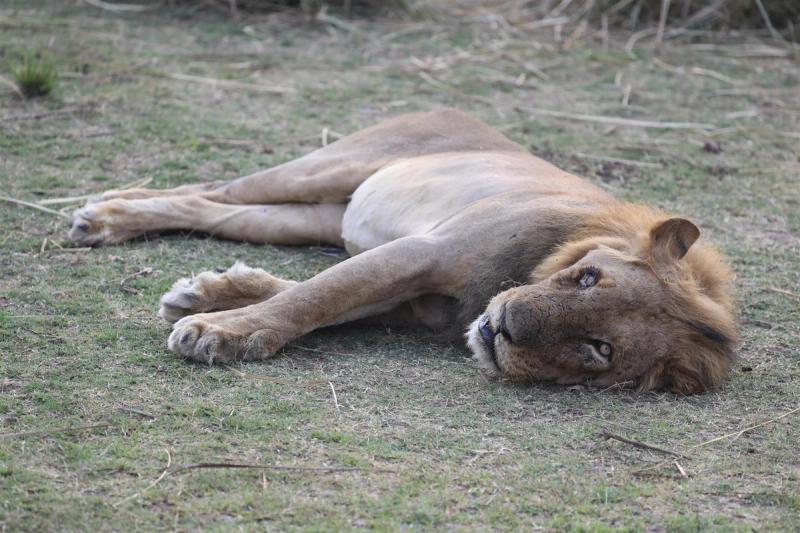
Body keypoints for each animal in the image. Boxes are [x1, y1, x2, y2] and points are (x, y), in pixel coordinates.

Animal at [68, 109, 738, 394]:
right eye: (588, 278)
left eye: (601, 350)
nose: (505, 326)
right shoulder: (423, 250)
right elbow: (317, 295)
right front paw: (218, 331)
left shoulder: (412, 300)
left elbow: (315, 296)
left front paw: (206, 299)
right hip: (328, 168)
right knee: (211, 187)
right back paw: (104, 215)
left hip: (311, 216)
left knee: (215, 211)